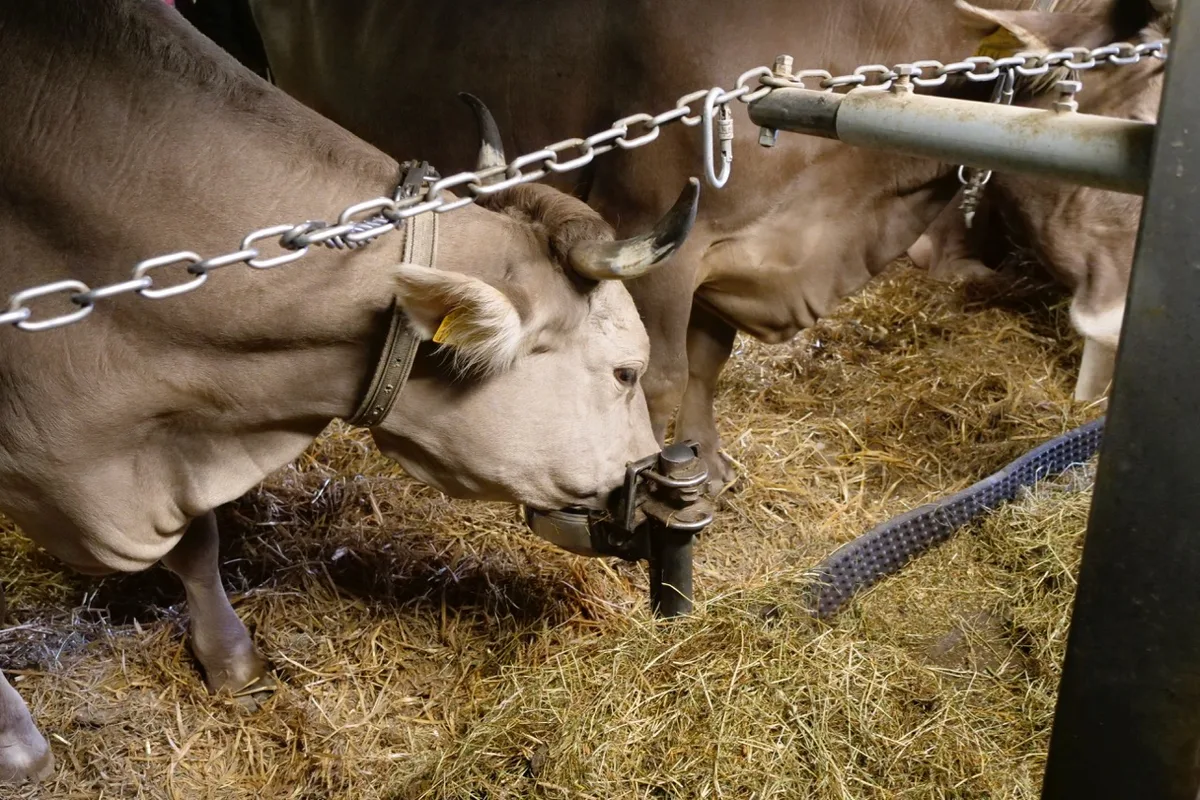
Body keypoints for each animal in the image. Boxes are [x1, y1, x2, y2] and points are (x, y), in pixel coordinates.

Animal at [230, 0, 1163, 492]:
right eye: (1138, 119)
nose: (1126, 321)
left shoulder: (735, 255)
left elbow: (711, 363)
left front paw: (704, 462)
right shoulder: (662, 239)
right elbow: (667, 369)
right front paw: (654, 478)